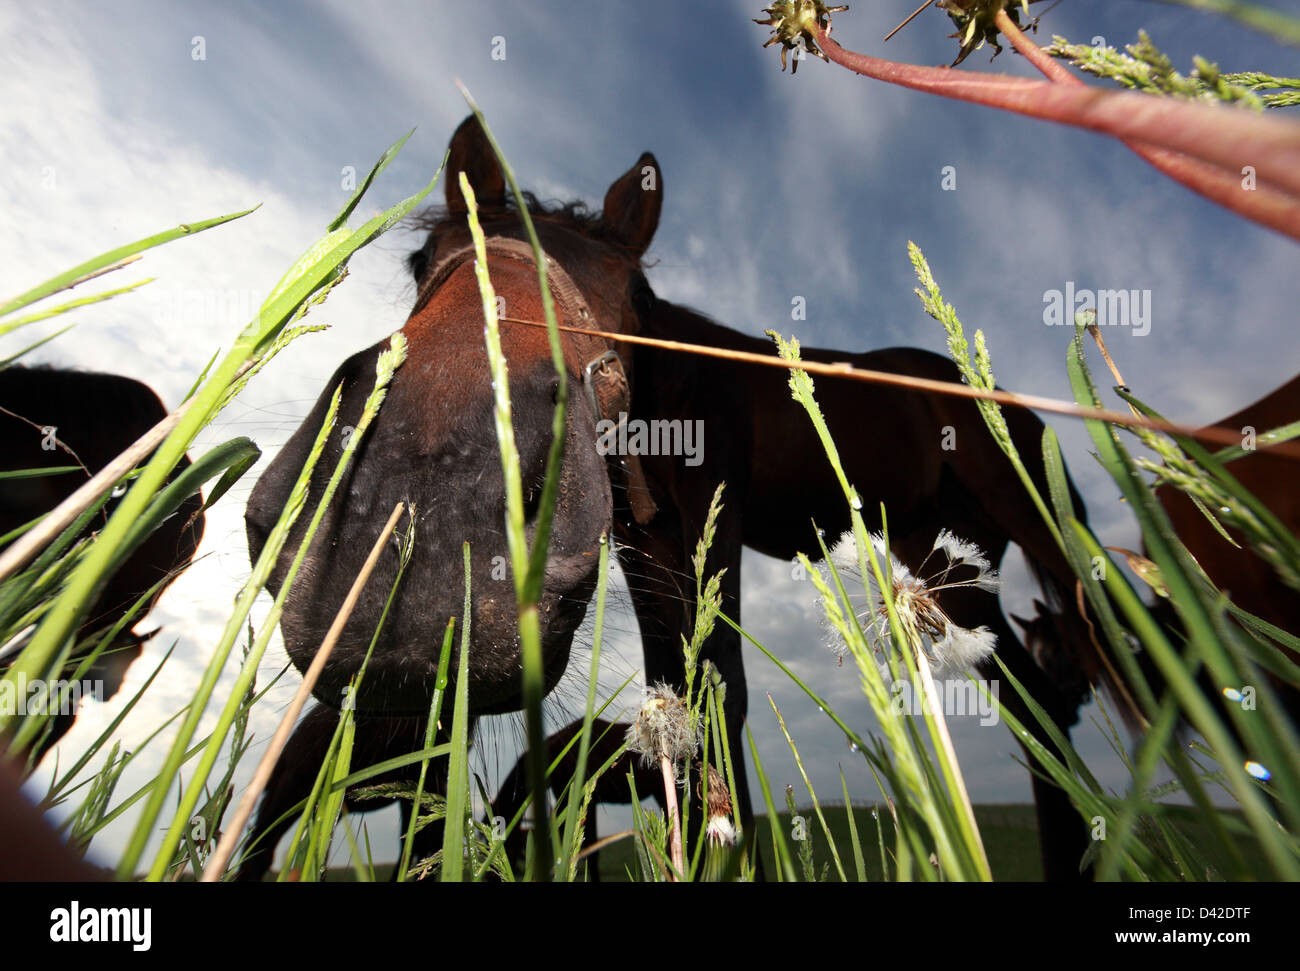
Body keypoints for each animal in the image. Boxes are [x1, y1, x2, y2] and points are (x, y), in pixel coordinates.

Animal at [242, 114, 1106, 881]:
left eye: (631, 289)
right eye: (426, 259)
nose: (424, 506)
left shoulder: (710, 520)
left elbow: (718, 687)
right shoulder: (641, 545)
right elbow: (673, 694)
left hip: (1037, 533)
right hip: (947, 557)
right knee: (1029, 697)